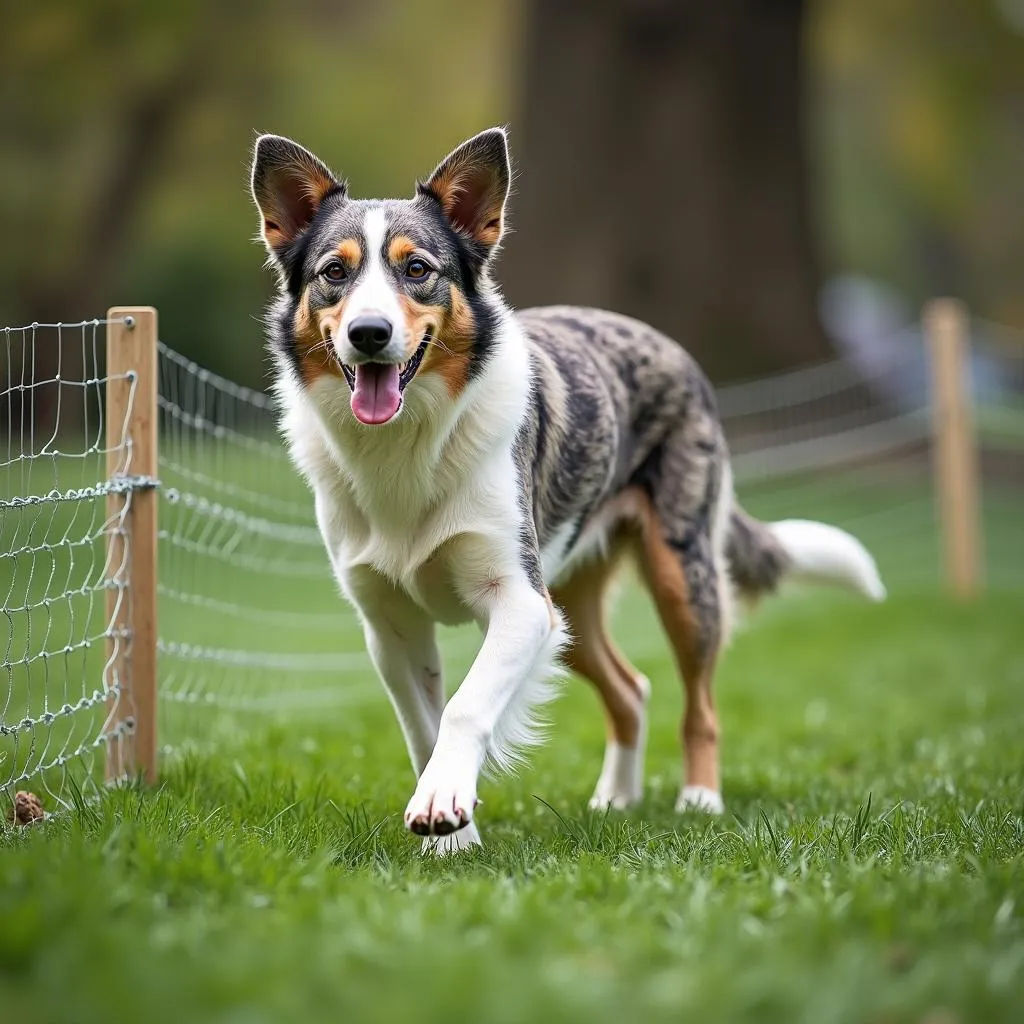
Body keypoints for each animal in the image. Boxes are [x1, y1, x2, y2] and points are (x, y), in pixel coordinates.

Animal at [249, 125, 888, 847]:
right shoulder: (390, 625)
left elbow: (465, 706)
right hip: (571, 608)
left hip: (678, 576)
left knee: (700, 704)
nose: (369, 334)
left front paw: (445, 805)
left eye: (417, 271)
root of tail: (665, 342)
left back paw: (699, 800)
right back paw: (616, 801)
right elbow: (424, 728)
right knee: (632, 690)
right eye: (334, 272)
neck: (406, 446)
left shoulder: (521, 601)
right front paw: (451, 836)